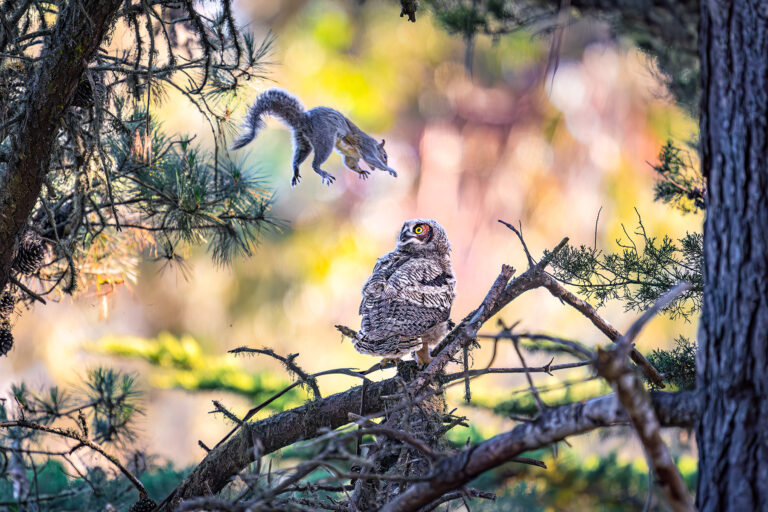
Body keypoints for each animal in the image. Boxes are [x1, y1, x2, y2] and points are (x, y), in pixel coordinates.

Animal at [230, 89, 397, 186]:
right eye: (385, 155)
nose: (386, 162)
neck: (373, 144)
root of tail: (305, 120)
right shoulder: (367, 149)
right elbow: (371, 159)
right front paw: (390, 170)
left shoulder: (351, 156)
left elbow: (351, 164)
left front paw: (361, 171)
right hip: (325, 141)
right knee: (315, 164)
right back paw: (322, 172)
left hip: (303, 142)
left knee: (298, 157)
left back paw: (296, 171)